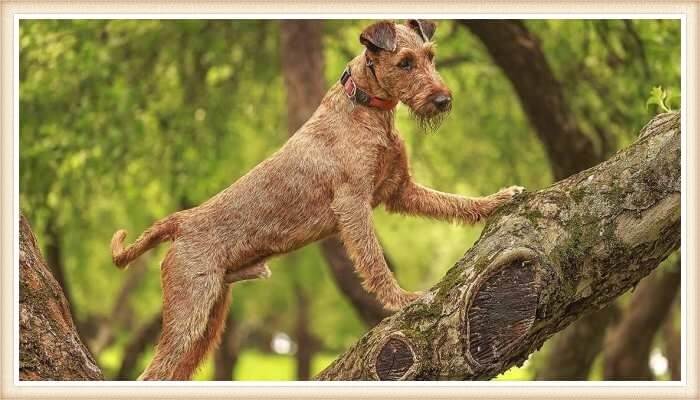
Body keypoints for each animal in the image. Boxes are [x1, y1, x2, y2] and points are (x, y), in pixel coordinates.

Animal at [110, 19, 524, 382]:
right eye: (405, 62)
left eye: (430, 55)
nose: (443, 100)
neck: (364, 108)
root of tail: (181, 220)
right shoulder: (353, 202)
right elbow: (373, 260)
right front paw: (399, 299)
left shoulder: (400, 190)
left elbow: (454, 202)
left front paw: (498, 199)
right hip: (190, 314)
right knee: (152, 372)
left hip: (210, 319)